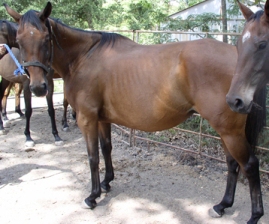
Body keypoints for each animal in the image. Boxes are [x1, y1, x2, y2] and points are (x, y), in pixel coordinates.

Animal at [4, 2, 266, 223]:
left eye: (46, 38)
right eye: (19, 39)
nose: (38, 87)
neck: (84, 57)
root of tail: (237, 56)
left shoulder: (87, 119)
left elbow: (92, 156)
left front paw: (93, 196)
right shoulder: (102, 119)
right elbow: (106, 149)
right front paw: (107, 183)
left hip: (229, 130)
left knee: (250, 165)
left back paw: (254, 216)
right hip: (225, 131)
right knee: (233, 164)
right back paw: (222, 205)